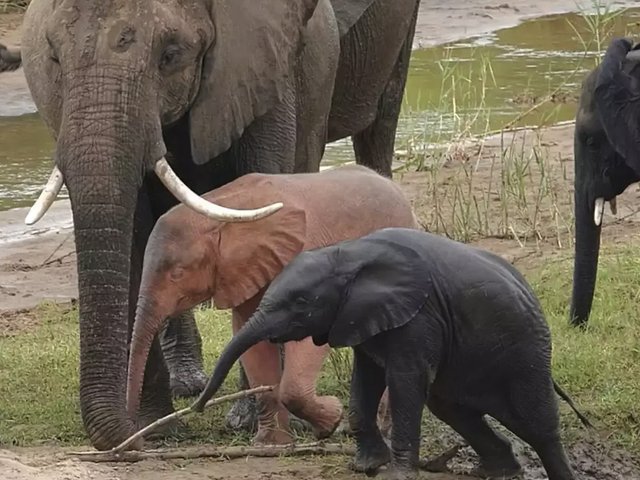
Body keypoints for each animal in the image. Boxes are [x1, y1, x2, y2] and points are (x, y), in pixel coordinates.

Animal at [3, 0, 424, 450]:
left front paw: (250, 421)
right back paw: (187, 386)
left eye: (171, 56)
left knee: (379, 126)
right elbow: (135, 228)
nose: (130, 438)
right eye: (54, 59)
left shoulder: (273, 65)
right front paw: (158, 427)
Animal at [194, 228, 592, 480]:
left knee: (538, 424)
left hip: (526, 350)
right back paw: (496, 471)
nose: (197, 407)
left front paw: (396, 474)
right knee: (451, 407)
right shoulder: (362, 317)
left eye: (302, 303)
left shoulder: (420, 315)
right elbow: (366, 381)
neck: (348, 252)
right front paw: (366, 467)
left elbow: (405, 382)